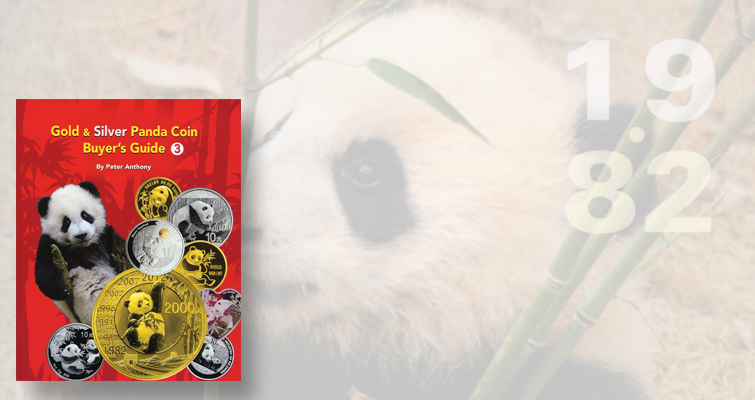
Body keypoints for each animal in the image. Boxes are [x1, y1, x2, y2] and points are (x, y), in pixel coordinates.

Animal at [35, 181, 127, 324]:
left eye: (85, 215)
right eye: (66, 222)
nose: (82, 235)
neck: (83, 248)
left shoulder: (104, 237)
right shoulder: (50, 245)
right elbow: (43, 272)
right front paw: (61, 291)